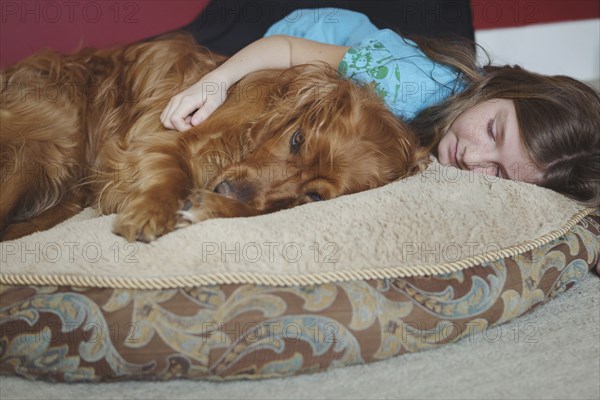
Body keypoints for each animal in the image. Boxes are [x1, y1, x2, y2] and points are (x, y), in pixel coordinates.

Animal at [2, 32, 428, 242]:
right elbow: (172, 172)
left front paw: (210, 206)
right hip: (42, 147)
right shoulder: (160, 140)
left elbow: (256, 209)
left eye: (316, 196)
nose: (226, 192)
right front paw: (151, 210)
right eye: (296, 139)